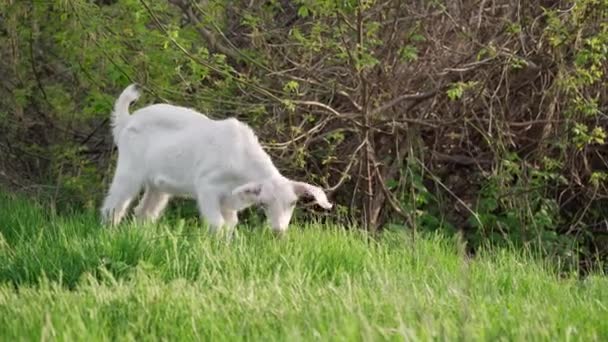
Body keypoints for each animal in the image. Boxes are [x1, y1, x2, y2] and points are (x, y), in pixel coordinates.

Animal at [102, 83, 334, 232]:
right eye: (264, 204)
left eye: (293, 203)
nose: (278, 232)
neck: (241, 157)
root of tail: (127, 120)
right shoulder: (207, 188)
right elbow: (217, 224)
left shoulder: (229, 200)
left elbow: (230, 226)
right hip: (129, 170)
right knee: (114, 205)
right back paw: (109, 234)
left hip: (158, 185)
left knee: (145, 211)